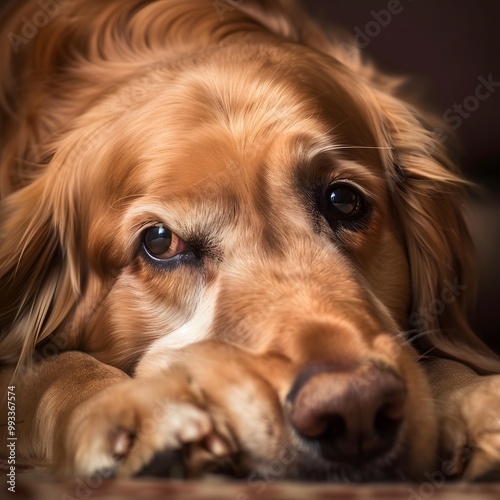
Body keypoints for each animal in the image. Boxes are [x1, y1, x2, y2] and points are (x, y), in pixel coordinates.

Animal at [0, 0, 500, 482]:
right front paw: (134, 406)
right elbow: (47, 369)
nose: (355, 407)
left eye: (343, 200)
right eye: (160, 242)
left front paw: (473, 396)